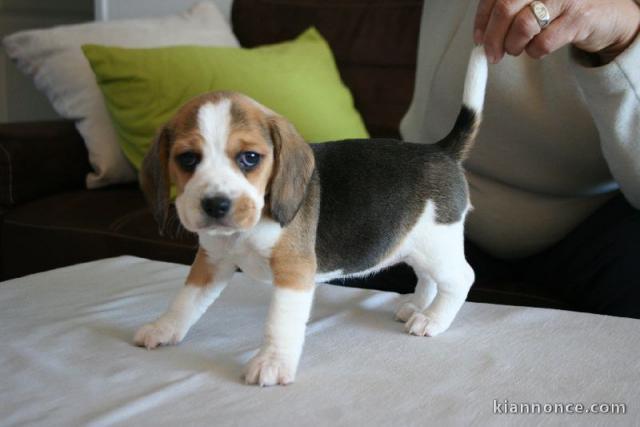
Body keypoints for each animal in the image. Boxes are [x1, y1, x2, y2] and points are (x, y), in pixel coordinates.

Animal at [132, 46, 488, 388]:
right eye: (187, 159)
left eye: (250, 158)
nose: (216, 205)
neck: (246, 229)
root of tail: (440, 150)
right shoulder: (212, 261)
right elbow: (186, 300)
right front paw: (163, 328)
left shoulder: (294, 271)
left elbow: (280, 322)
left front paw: (272, 364)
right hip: (419, 246)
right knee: (428, 277)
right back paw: (418, 306)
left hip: (437, 243)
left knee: (462, 278)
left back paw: (432, 319)